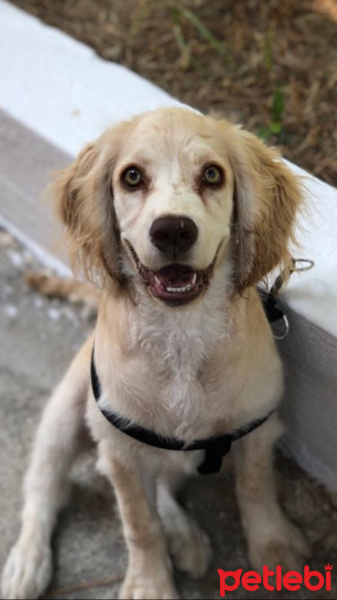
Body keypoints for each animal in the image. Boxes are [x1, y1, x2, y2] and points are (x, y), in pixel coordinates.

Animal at [1, 109, 308, 600]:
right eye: (131, 177)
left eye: (212, 174)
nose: (173, 230)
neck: (180, 336)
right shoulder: (120, 448)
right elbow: (138, 522)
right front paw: (150, 582)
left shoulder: (256, 424)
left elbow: (256, 485)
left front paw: (273, 544)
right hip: (64, 417)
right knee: (43, 493)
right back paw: (27, 562)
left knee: (164, 479)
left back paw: (184, 535)